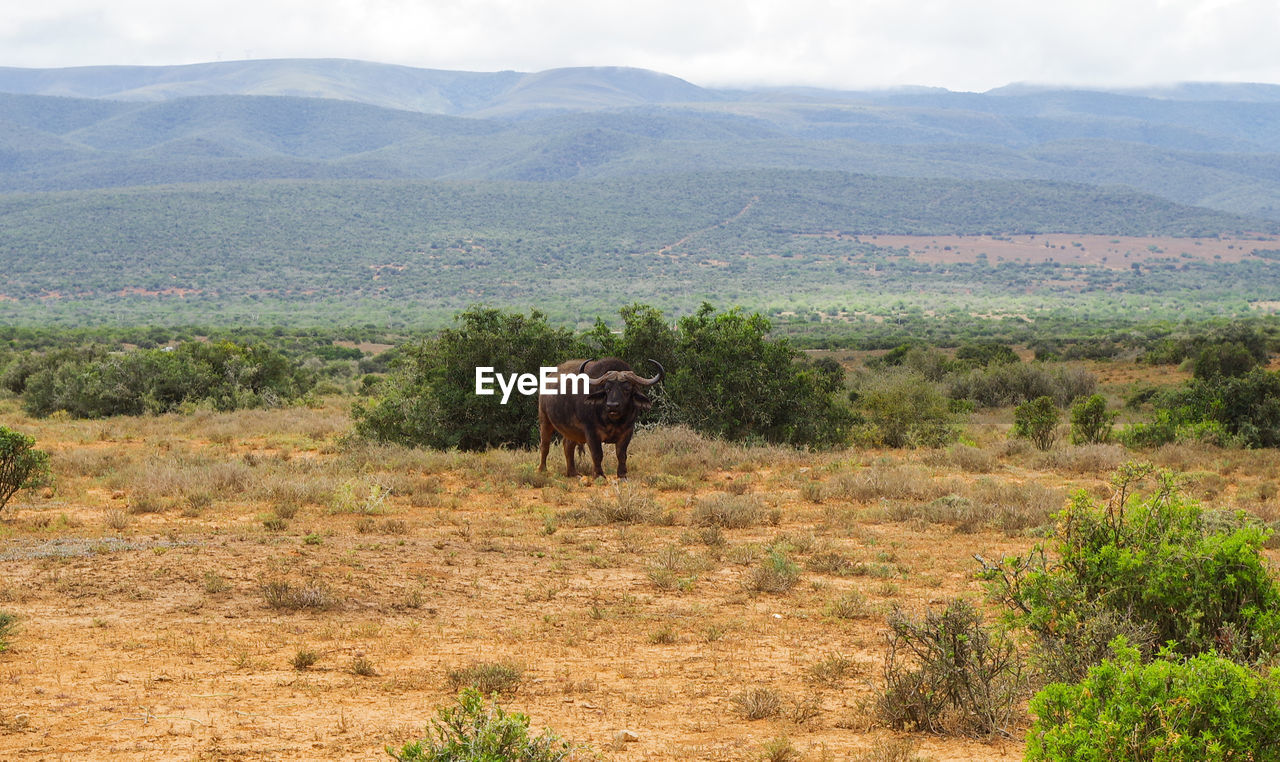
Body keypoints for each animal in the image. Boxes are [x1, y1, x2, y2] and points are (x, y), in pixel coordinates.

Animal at [535, 356, 665, 476]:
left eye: (627, 389)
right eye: (607, 388)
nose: (612, 406)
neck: (612, 421)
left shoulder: (627, 431)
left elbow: (621, 454)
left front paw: (622, 474)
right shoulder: (591, 432)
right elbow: (597, 454)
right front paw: (599, 475)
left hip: (571, 430)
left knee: (568, 446)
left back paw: (573, 473)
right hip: (544, 419)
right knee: (545, 445)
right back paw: (542, 469)